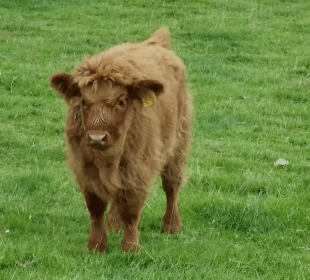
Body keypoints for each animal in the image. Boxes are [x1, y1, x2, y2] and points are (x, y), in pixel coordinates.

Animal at [50, 27, 191, 253]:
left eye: (121, 101)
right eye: (83, 101)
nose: (97, 137)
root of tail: (155, 43)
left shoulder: (138, 169)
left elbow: (132, 210)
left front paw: (130, 247)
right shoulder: (85, 168)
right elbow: (96, 208)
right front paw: (96, 245)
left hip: (178, 143)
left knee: (171, 185)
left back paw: (171, 226)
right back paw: (113, 224)